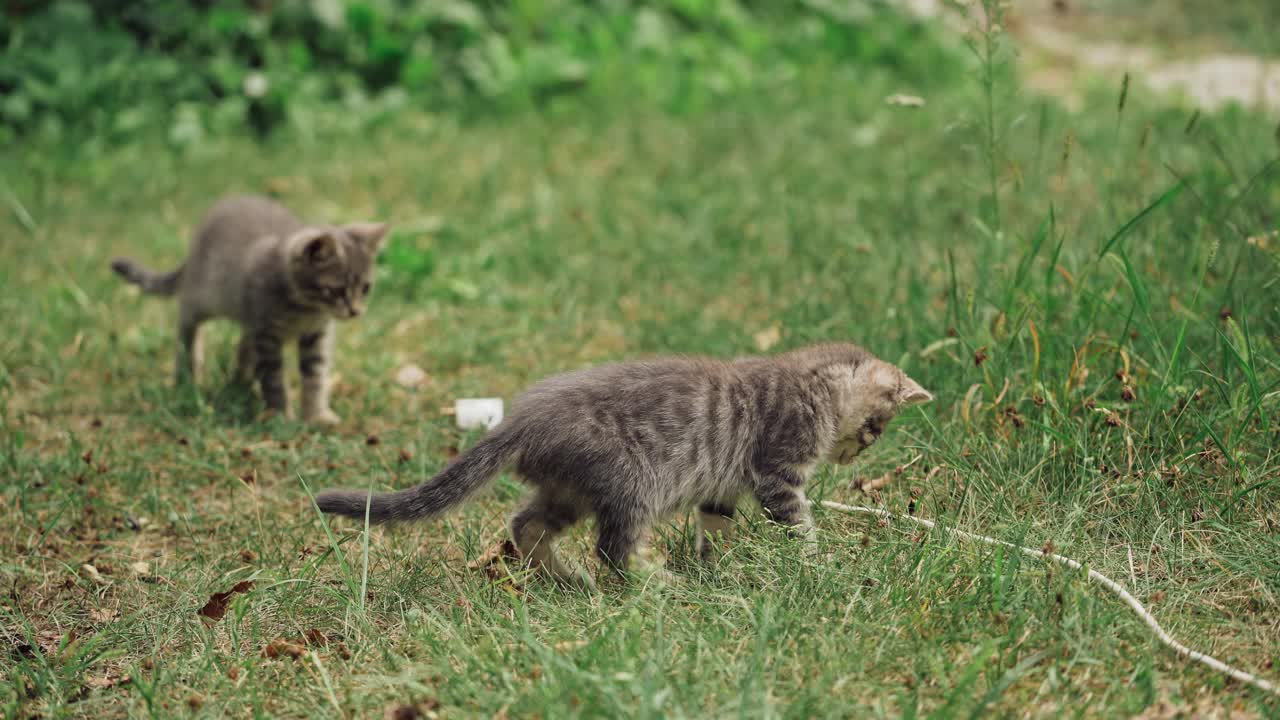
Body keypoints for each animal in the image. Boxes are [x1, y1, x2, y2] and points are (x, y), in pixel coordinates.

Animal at [112, 193, 386, 422]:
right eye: (336, 290)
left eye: (365, 288)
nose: (355, 311)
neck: (305, 308)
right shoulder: (266, 333)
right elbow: (273, 378)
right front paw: (281, 417)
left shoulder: (316, 335)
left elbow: (315, 376)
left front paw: (316, 416)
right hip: (202, 299)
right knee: (186, 328)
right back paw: (188, 375)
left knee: (243, 346)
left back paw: (241, 384)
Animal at [312, 340, 931, 584]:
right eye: (875, 428)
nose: (856, 453)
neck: (809, 382)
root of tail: (522, 418)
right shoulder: (777, 475)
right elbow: (799, 525)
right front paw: (815, 564)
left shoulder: (722, 488)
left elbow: (715, 526)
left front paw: (714, 566)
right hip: (632, 482)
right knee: (612, 548)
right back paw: (653, 584)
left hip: (569, 489)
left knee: (525, 523)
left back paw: (564, 578)